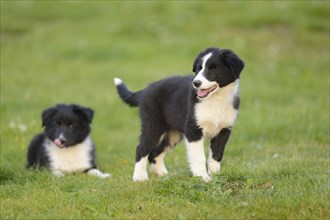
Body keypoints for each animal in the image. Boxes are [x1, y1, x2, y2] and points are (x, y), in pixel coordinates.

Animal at [114, 47, 244, 182]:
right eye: (198, 68)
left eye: (213, 69)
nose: (196, 83)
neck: (216, 100)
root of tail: (145, 90)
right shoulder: (193, 129)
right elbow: (199, 157)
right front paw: (202, 177)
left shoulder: (224, 130)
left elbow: (216, 155)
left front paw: (216, 175)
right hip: (153, 125)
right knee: (141, 149)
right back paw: (140, 177)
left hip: (173, 134)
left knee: (154, 153)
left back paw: (164, 175)